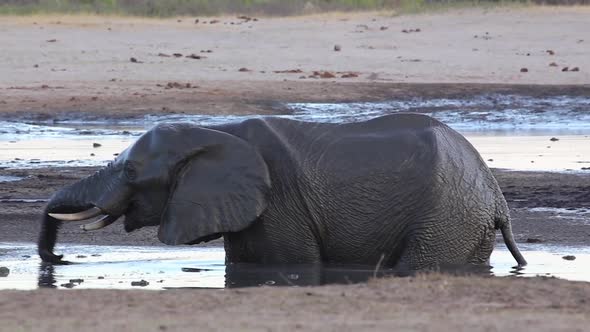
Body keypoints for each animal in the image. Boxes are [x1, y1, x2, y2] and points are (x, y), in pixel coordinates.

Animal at [38, 114, 528, 270]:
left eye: (131, 169)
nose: (58, 258)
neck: (217, 131)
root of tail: (496, 195)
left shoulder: (279, 204)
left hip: (448, 215)